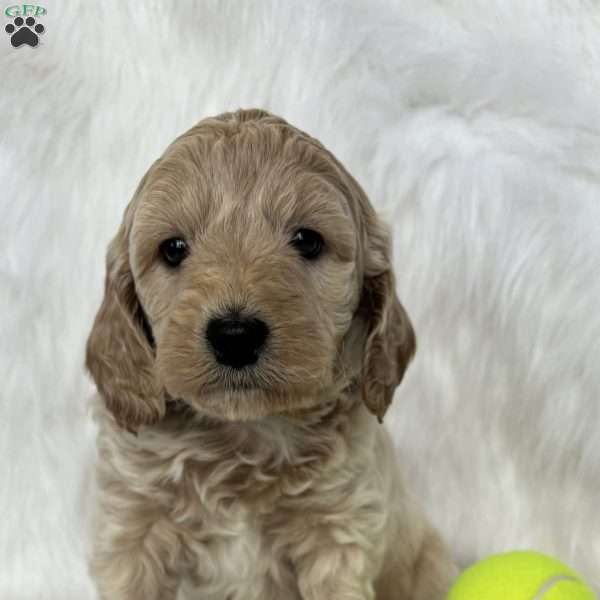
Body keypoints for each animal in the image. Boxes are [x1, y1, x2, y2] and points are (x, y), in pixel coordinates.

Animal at [86, 109, 458, 600]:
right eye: (173, 249)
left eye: (307, 240)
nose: (235, 335)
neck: (244, 435)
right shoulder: (133, 531)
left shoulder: (338, 533)